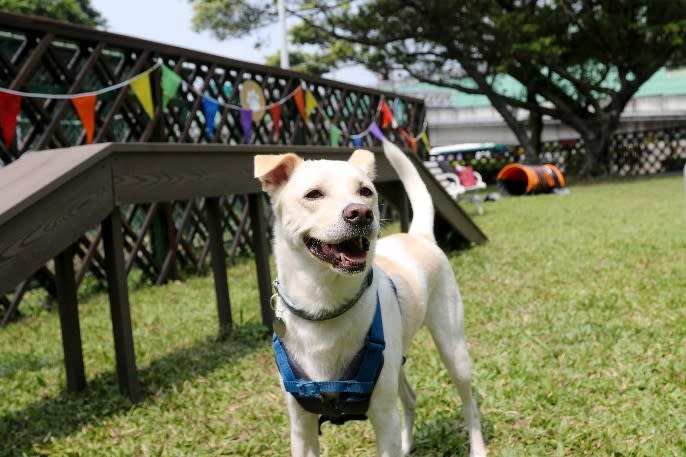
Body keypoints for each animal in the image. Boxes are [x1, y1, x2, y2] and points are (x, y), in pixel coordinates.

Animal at [255, 140, 486, 456]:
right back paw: (407, 444)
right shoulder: (301, 425)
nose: (361, 213)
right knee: (410, 397)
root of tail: (419, 236)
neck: (325, 304)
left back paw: (477, 447)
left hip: (453, 349)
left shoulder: (383, 415)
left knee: (468, 403)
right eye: (313, 194)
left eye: (365, 191)